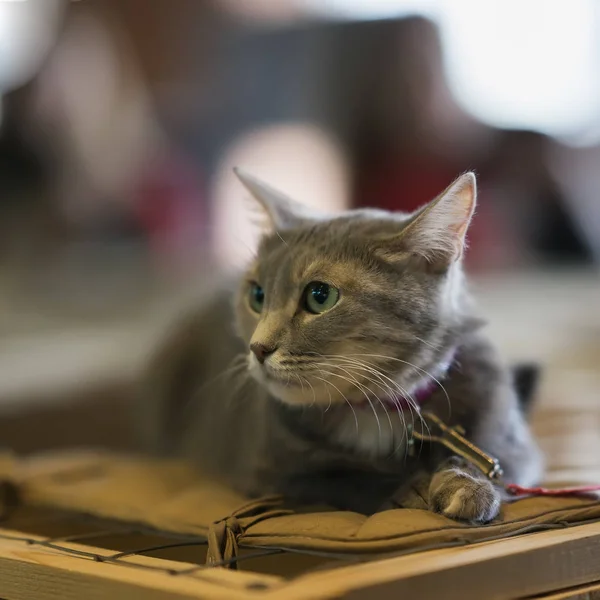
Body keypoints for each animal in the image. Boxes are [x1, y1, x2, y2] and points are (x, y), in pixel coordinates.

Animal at [139, 168, 544, 520]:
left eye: (320, 296)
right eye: (257, 295)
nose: (258, 348)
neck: (376, 411)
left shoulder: (513, 444)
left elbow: (489, 459)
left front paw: (465, 484)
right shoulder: (263, 468)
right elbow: (339, 479)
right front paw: (409, 488)